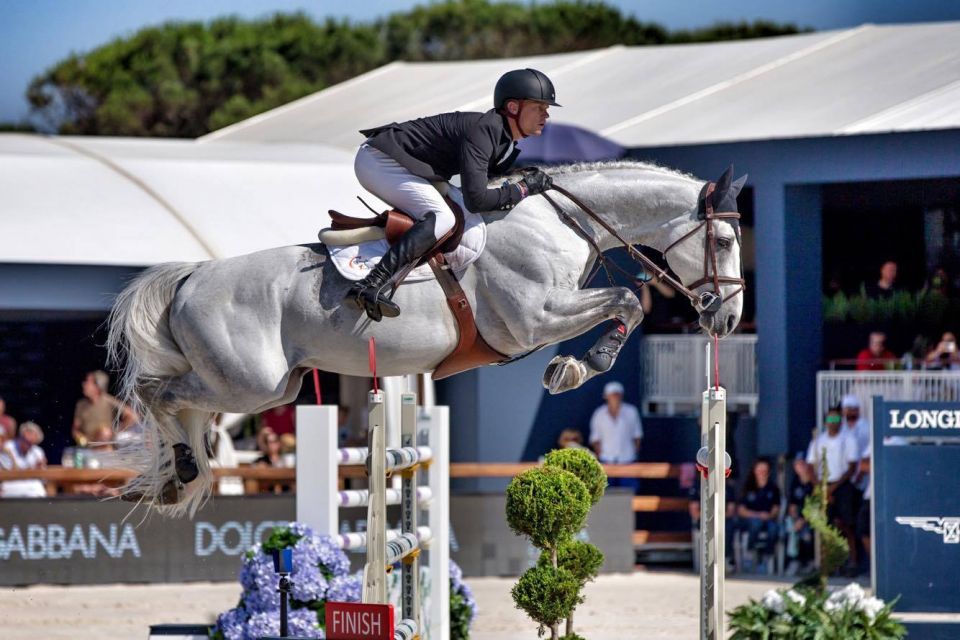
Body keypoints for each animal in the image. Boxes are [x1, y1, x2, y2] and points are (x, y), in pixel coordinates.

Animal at [107, 160, 752, 516]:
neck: (562, 222)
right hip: (249, 384)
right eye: (723, 242)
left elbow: (627, 304)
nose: (726, 319)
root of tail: (193, 275)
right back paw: (180, 471)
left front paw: (575, 366)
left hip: (268, 387)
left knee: (176, 401)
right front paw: (576, 367)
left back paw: (175, 479)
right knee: (158, 393)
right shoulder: (535, 318)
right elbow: (628, 301)